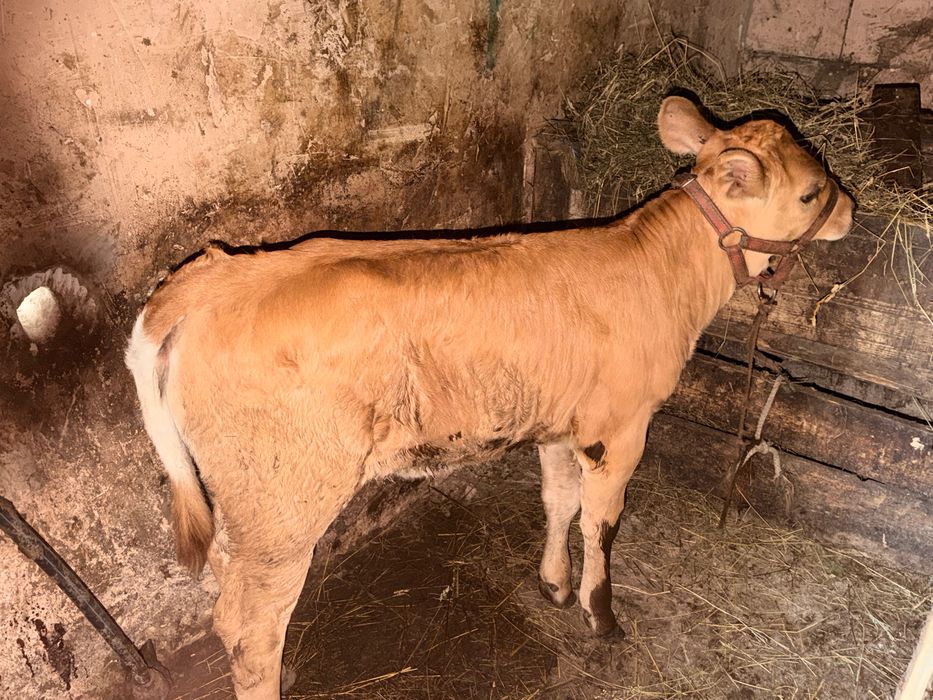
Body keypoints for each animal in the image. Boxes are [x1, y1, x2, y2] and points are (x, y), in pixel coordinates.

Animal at [126, 96, 853, 699]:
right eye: (809, 191)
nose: (849, 208)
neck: (663, 270)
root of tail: (208, 279)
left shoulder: (563, 422)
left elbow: (558, 501)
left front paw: (553, 583)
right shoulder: (621, 428)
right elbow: (601, 524)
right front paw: (600, 615)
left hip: (243, 499)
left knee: (226, 596)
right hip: (286, 502)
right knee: (252, 629)